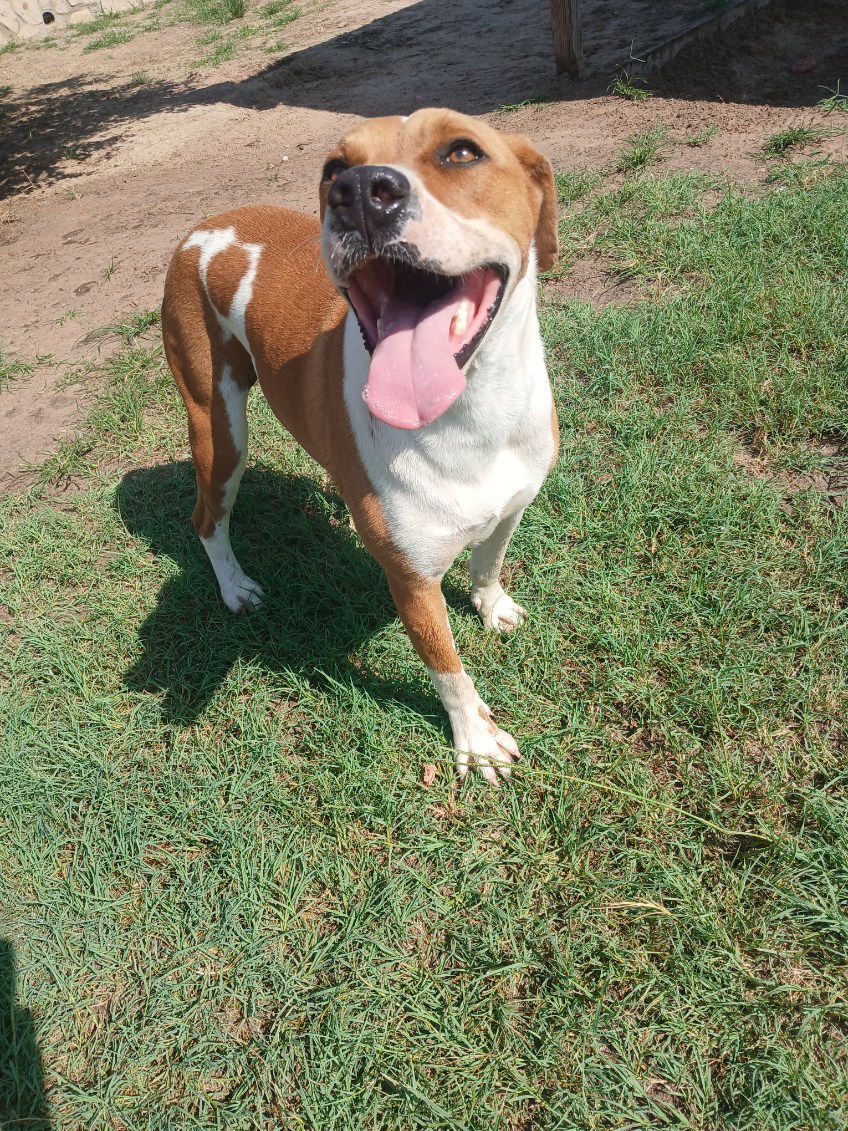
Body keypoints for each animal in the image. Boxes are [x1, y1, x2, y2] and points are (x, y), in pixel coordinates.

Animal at [162, 108, 560, 787]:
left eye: (462, 152)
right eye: (334, 169)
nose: (359, 192)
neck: (473, 413)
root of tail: (202, 229)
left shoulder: (512, 503)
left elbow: (488, 560)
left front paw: (491, 605)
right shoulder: (412, 580)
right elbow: (447, 668)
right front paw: (476, 739)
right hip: (219, 431)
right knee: (206, 517)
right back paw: (235, 587)